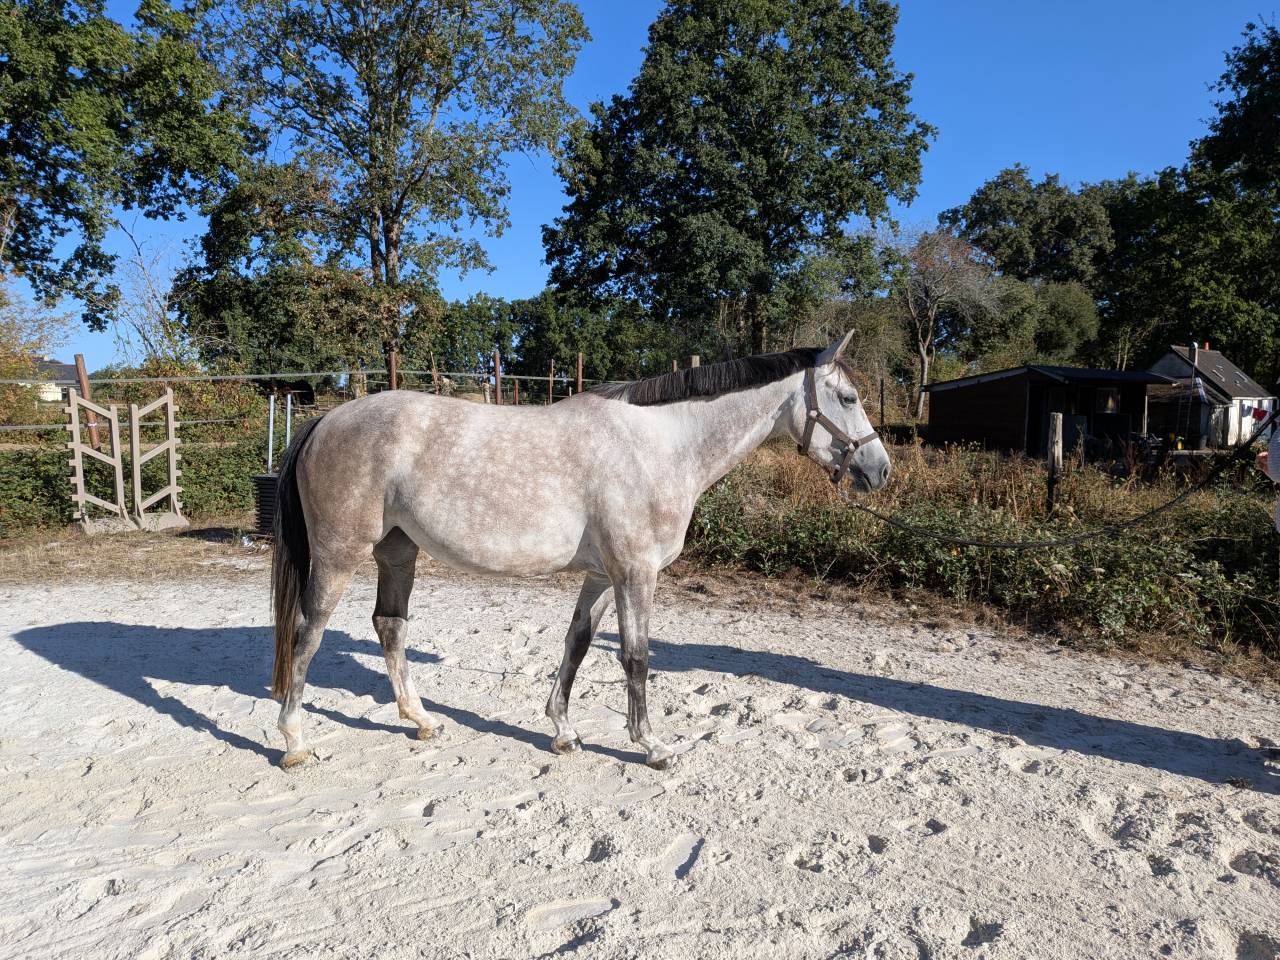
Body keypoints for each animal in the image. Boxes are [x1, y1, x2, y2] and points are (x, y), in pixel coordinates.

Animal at [270, 332, 890, 770]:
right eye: (849, 397)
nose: (879, 470)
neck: (660, 445)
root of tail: (326, 420)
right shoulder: (636, 573)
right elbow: (636, 657)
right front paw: (652, 746)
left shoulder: (602, 576)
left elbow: (578, 645)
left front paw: (563, 731)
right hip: (339, 553)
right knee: (308, 631)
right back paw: (295, 742)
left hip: (397, 553)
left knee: (390, 626)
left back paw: (421, 719)